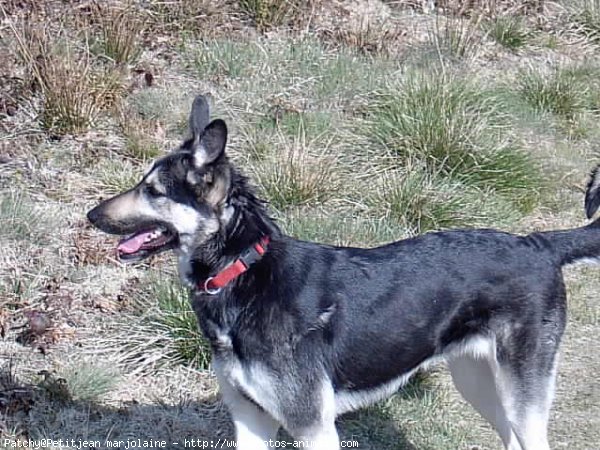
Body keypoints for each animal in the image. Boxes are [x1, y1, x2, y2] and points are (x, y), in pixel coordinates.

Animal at [88, 95, 600, 450]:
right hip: (475, 377)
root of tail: (537, 244)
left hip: (521, 391)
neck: (243, 271)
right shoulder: (251, 420)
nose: (91, 214)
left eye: (153, 190)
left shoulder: (313, 427)